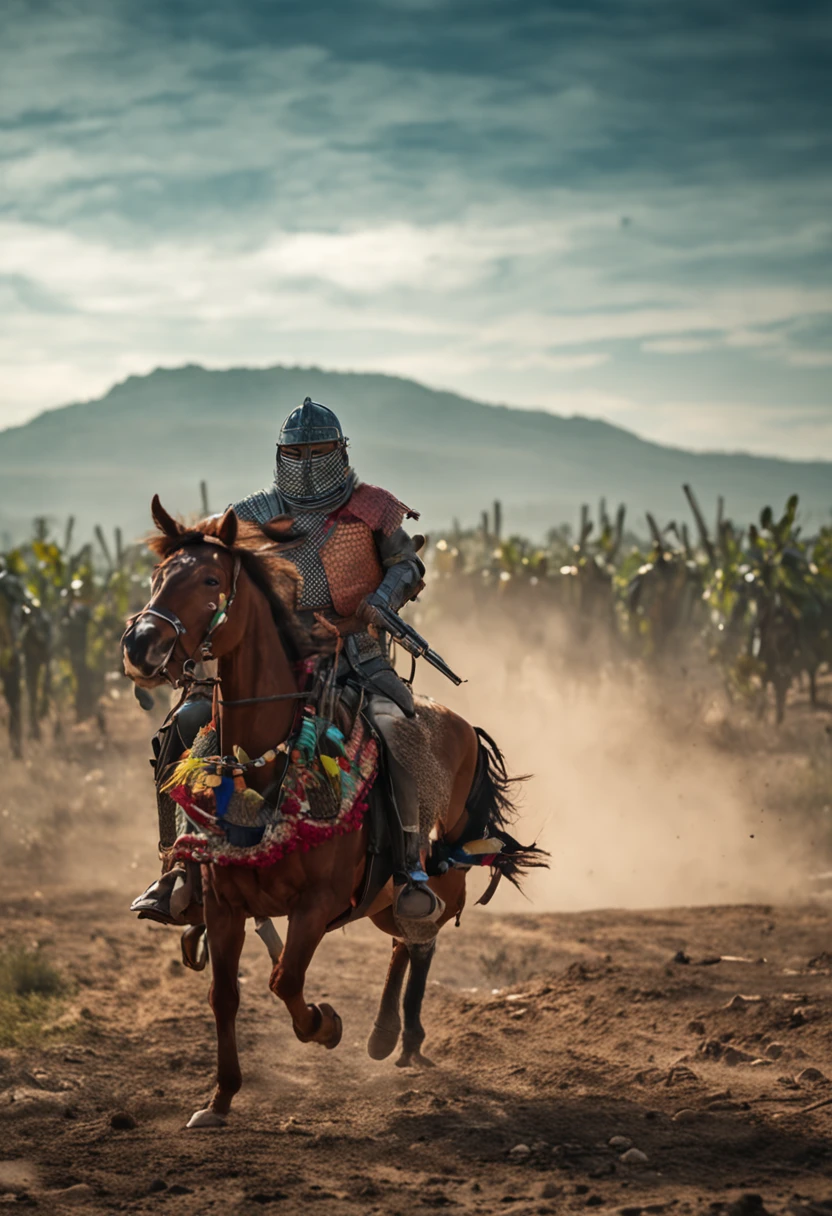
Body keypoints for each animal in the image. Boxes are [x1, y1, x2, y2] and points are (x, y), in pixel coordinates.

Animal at [123, 498, 540, 1123]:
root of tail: (465, 728)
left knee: (422, 933)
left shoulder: (316, 905)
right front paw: (220, 1098)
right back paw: (388, 1033)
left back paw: (405, 1034)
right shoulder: (223, 907)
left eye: (211, 581)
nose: (141, 645)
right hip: (379, 899)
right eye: (157, 577)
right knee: (400, 941)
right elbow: (226, 995)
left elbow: (285, 979)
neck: (264, 763)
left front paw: (325, 1024)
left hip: (444, 876)